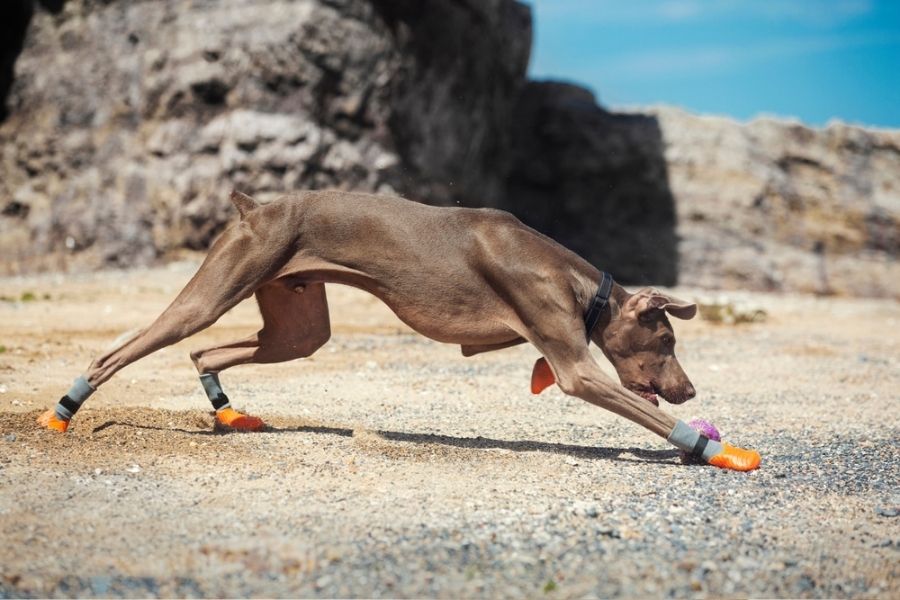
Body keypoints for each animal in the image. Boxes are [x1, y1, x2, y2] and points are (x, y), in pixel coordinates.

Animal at [40, 190, 760, 472]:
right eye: (667, 343)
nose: (691, 391)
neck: (582, 286)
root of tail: (255, 208)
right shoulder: (577, 370)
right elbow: (639, 410)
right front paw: (717, 449)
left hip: (296, 325)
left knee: (204, 350)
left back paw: (229, 413)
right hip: (214, 292)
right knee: (122, 350)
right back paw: (63, 412)